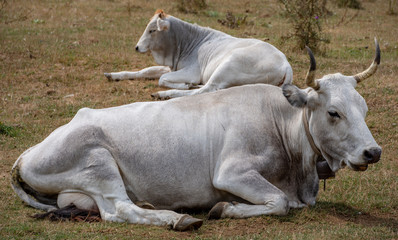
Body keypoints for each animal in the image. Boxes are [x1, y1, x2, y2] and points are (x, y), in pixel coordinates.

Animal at [104, 9, 294, 99]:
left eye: (152, 30)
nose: (137, 47)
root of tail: (286, 63)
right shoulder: (173, 67)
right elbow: (145, 71)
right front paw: (113, 75)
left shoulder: (192, 72)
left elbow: (161, 79)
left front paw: (181, 85)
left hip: (228, 65)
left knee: (206, 91)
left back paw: (164, 94)